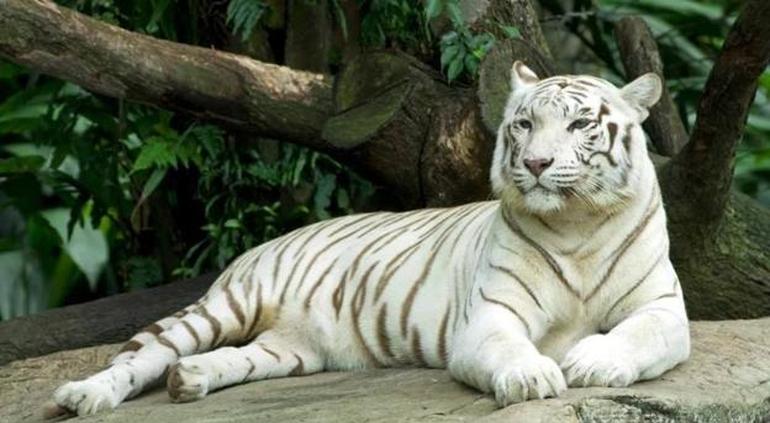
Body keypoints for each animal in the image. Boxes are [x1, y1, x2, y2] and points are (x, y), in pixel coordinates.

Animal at [47, 61, 690, 417]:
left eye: (580, 124)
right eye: (524, 124)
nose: (535, 163)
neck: (576, 224)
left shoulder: (664, 309)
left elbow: (636, 336)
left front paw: (594, 362)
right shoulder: (489, 317)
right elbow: (510, 349)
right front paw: (532, 376)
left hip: (291, 350)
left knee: (225, 359)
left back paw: (191, 380)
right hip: (226, 305)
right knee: (142, 354)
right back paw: (83, 395)